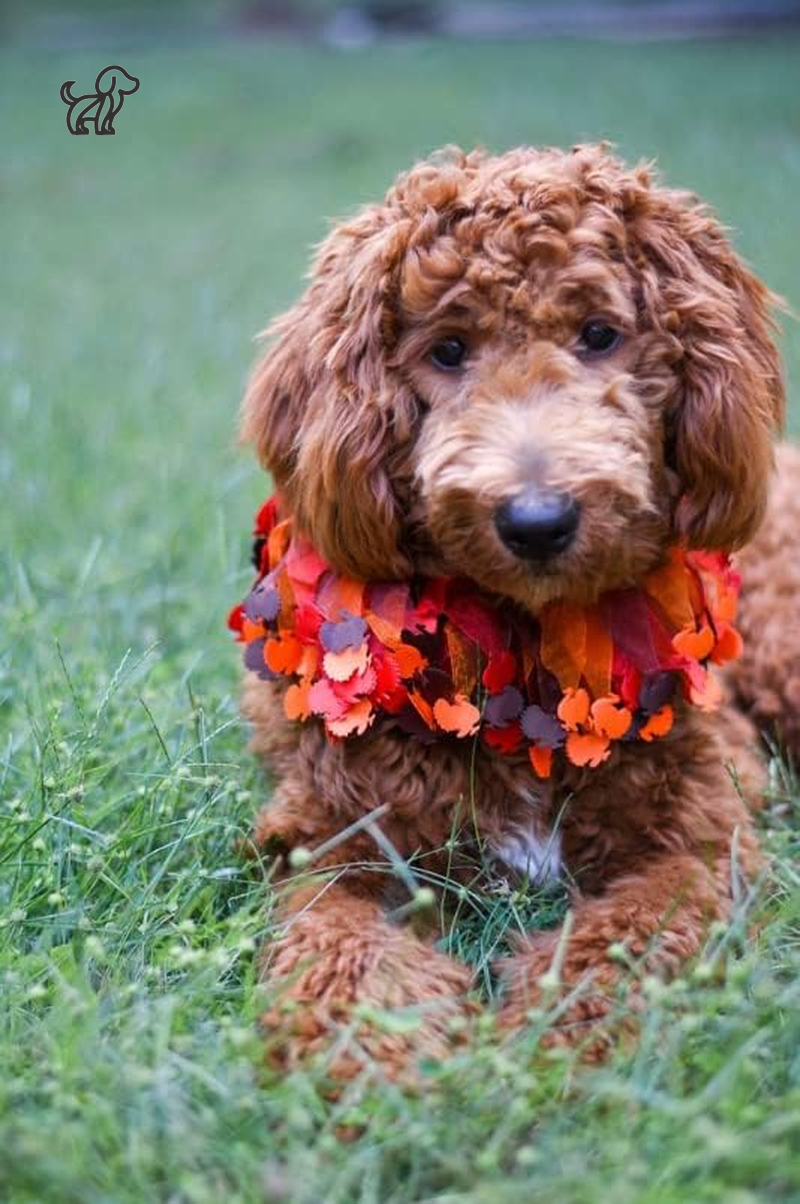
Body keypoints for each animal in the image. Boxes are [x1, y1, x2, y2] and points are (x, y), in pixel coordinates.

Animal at [231, 145, 800, 1078]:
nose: (537, 521)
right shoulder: (334, 844)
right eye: (448, 350)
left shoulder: (703, 842)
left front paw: (558, 1036)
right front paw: (372, 1063)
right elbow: (340, 950)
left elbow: (636, 930)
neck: (524, 651)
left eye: (600, 334)